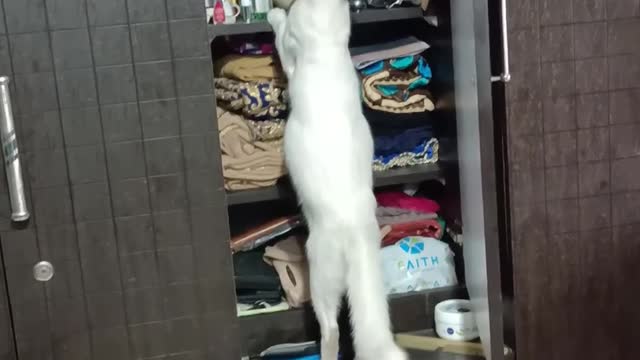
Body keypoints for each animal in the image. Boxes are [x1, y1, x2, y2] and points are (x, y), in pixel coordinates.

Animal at [268, 1, 408, 358]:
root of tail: (356, 229)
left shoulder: (290, 51)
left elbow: (281, 34)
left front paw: (274, 14)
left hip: (319, 273)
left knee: (331, 328)